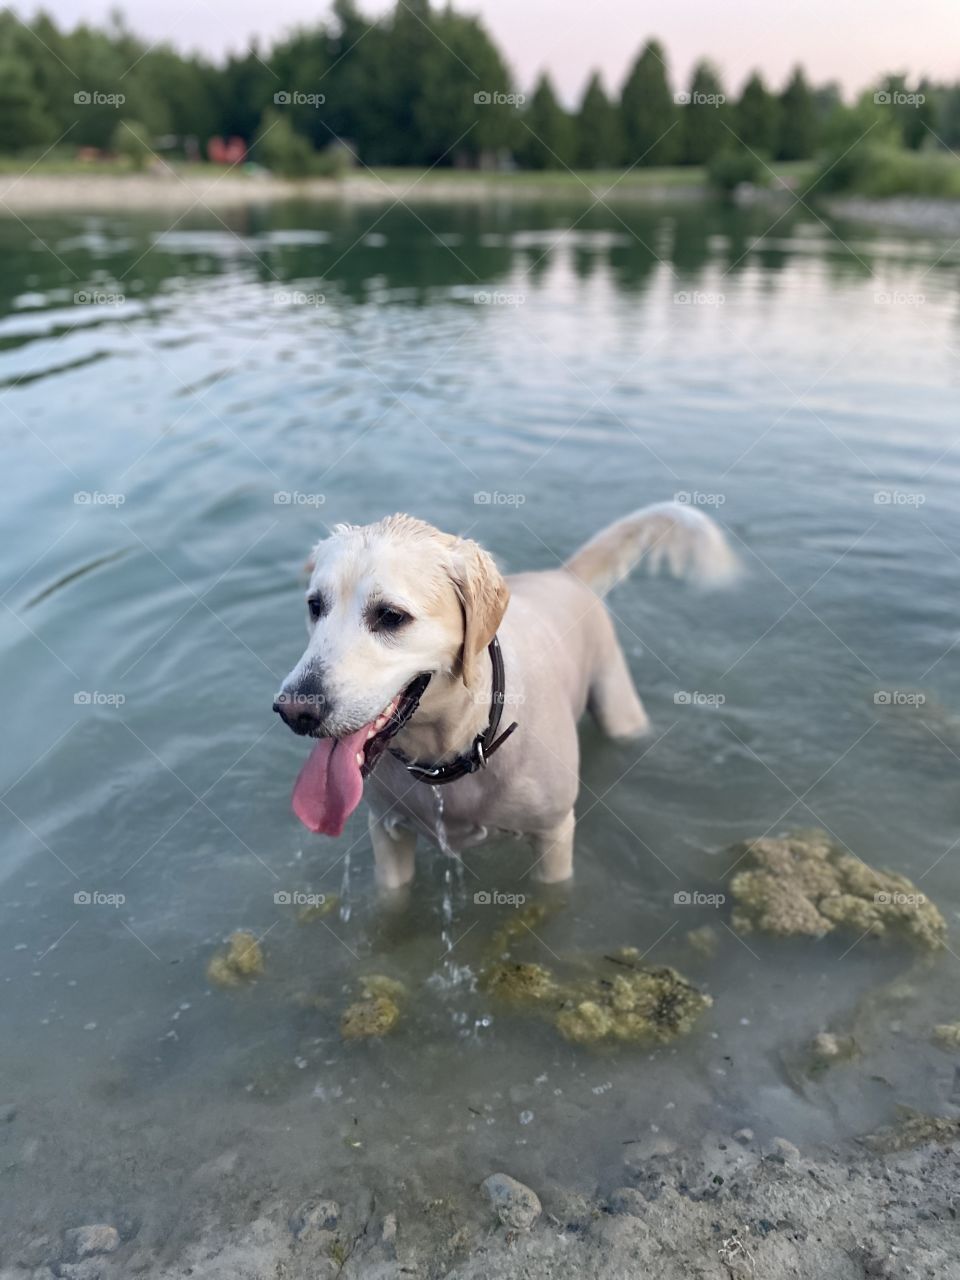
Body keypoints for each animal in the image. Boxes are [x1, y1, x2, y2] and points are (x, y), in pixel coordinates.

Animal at [273, 501, 742, 890]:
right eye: (315, 605)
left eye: (390, 615)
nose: (293, 711)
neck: (455, 744)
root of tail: (564, 575)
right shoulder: (387, 831)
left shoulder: (554, 836)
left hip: (618, 704)